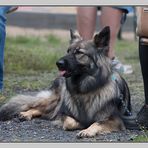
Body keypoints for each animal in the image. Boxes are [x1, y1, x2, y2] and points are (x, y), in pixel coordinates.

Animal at [0, 26, 132, 138]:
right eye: (68, 51)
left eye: (79, 52)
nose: (58, 63)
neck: (84, 90)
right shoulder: (63, 113)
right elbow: (70, 122)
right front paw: (81, 125)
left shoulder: (116, 119)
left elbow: (97, 123)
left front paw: (87, 130)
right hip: (55, 100)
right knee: (38, 107)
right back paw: (26, 114)